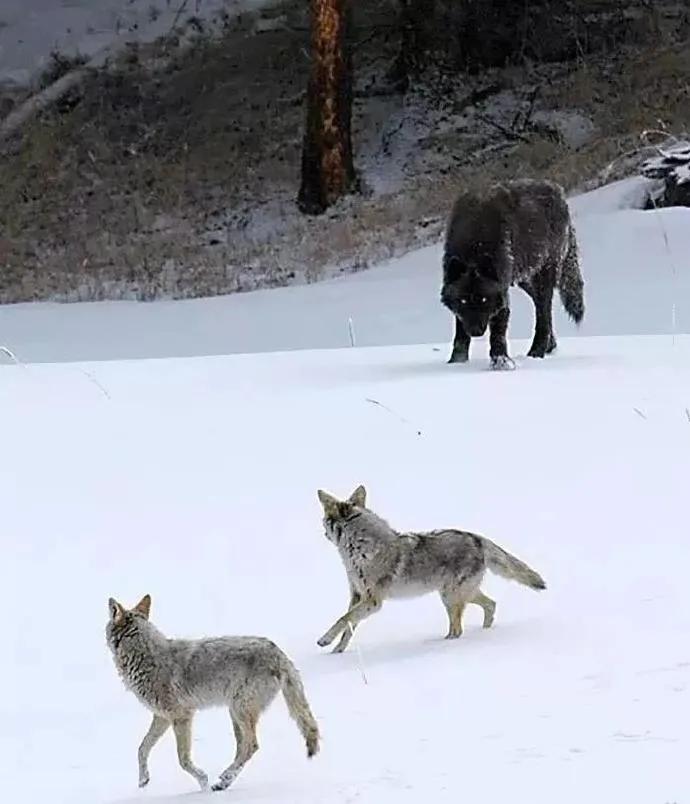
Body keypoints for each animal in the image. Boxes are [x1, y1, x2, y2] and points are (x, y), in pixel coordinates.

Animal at [440, 178, 580, 368]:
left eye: (484, 299)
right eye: (463, 300)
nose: (475, 331)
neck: (474, 243)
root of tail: (559, 191)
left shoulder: (502, 291)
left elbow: (498, 332)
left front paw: (500, 362)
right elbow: (460, 334)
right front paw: (456, 363)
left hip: (544, 275)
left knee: (543, 312)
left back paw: (537, 352)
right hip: (525, 280)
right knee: (539, 305)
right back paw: (550, 346)